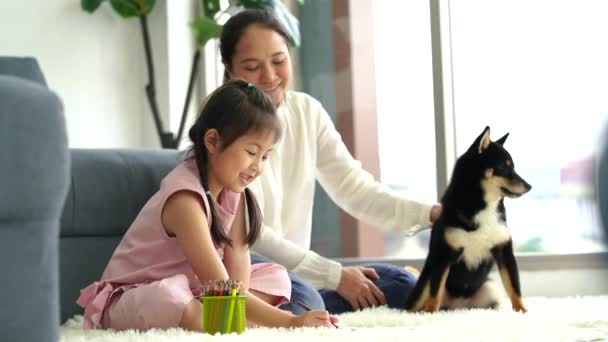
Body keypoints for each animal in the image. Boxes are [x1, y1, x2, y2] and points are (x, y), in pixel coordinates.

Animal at [406, 126, 528, 312]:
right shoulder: (444, 253)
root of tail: (459, 306)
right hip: (424, 284)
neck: (483, 206)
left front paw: (522, 311)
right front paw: (431, 313)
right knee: (420, 301)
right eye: (504, 167)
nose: (529, 186)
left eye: (513, 167)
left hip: (491, 287)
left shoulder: (504, 250)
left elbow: (514, 287)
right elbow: (436, 291)